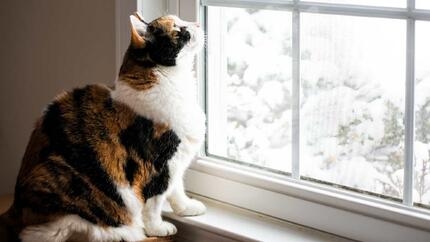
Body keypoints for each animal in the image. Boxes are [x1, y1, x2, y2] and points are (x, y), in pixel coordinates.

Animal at [0, 11, 207, 242]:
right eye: (179, 31)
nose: (198, 23)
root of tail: (13, 209)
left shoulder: (176, 160)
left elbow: (177, 188)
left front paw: (186, 207)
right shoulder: (157, 165)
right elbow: (154, 202)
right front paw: (158, 228)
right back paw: (125, 232)